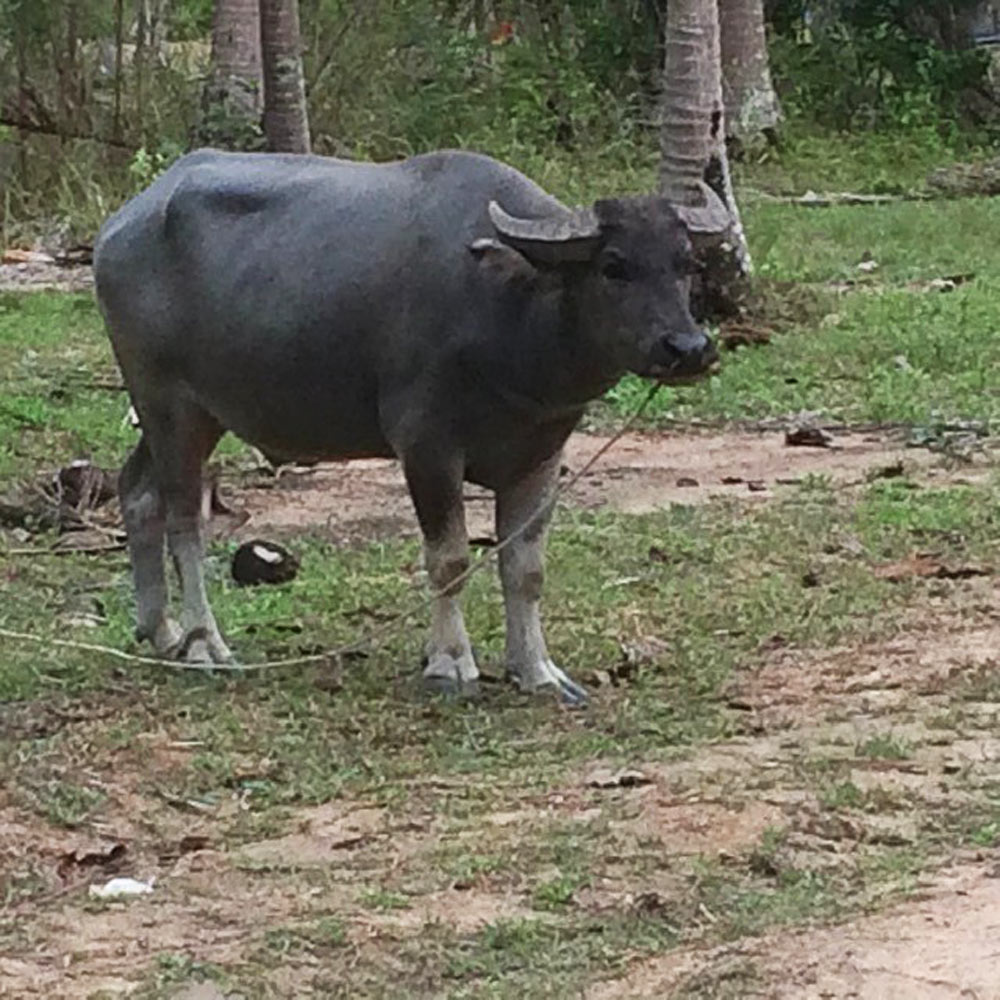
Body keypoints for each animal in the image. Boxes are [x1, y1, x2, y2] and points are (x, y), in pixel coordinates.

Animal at [94, 152, 716, 708]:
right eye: (614, 265)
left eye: (685, 264)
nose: (688, 348)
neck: (509, 311)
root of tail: (118, 229)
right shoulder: (427, 447)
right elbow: (450, 560)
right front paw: (451, 665)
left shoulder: (541, 458)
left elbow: (526, 569)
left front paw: (537, 670)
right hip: (169, 404)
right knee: (183, 520)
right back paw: (205, 645)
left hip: (198, 415)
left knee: (138, 493)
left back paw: (163, 631)